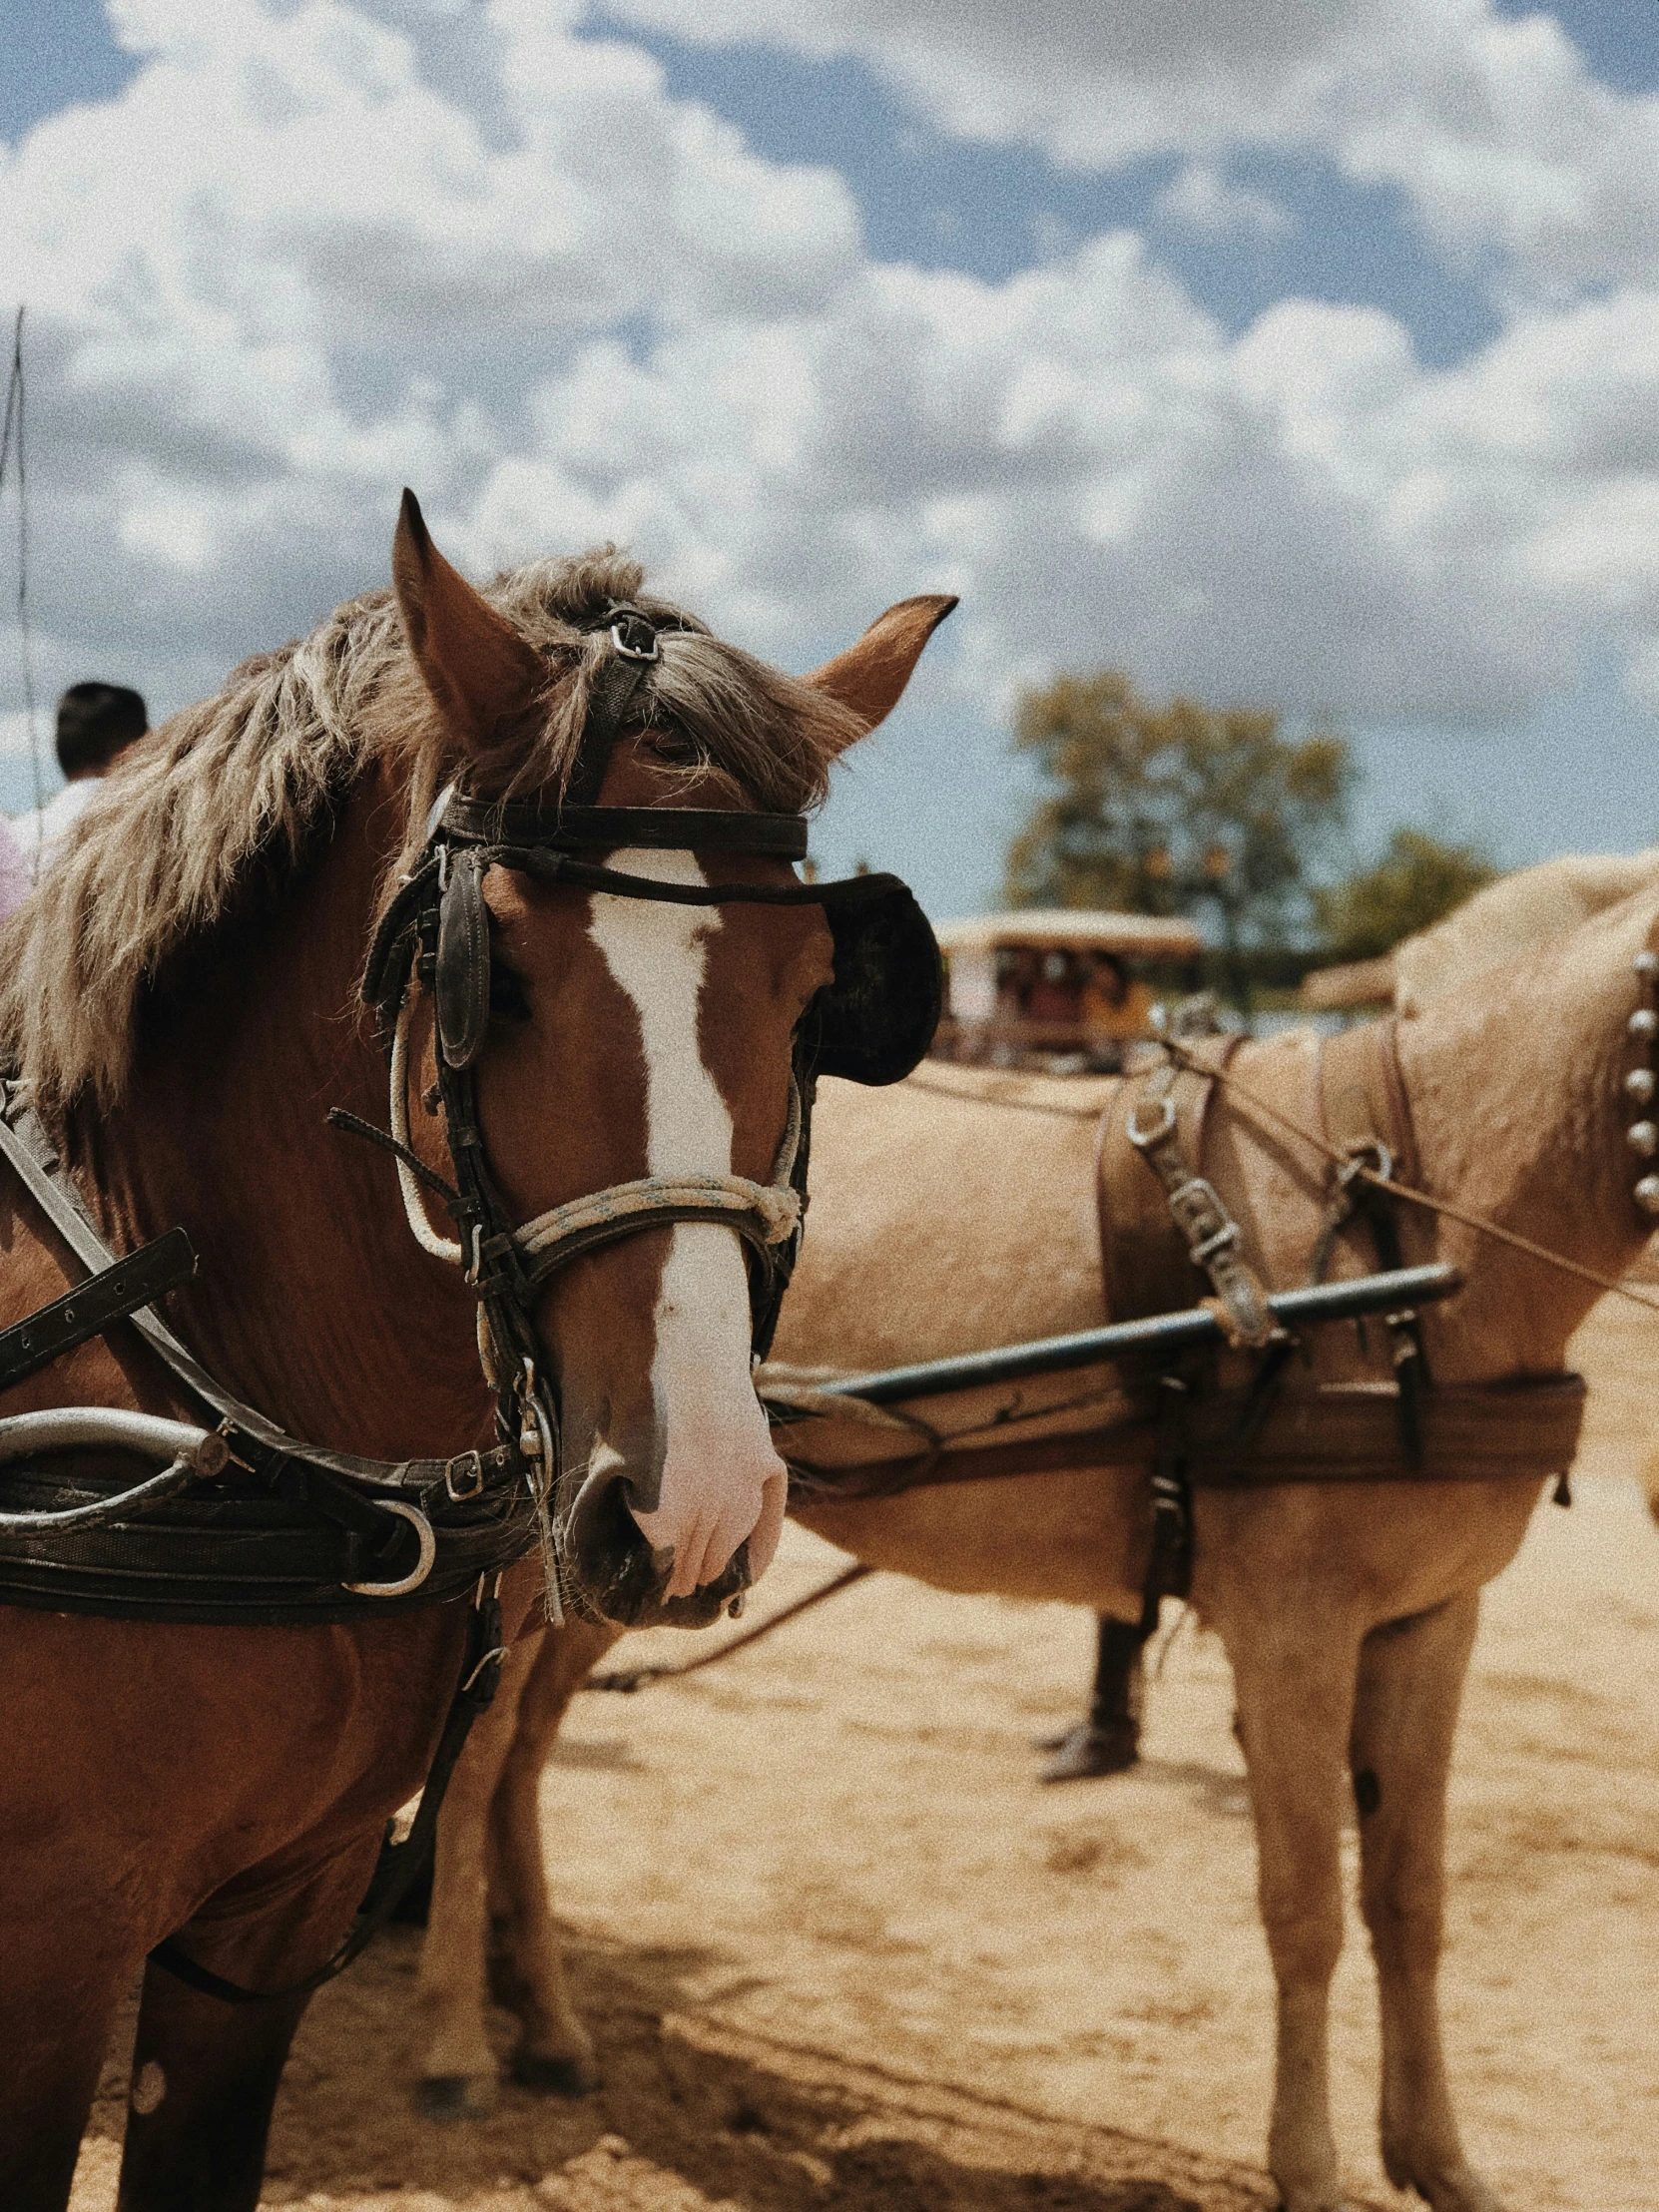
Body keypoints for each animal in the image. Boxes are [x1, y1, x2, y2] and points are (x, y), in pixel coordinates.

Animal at [413, 875, 1659, 2212]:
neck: (1403, 1210)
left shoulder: (1429, 1620)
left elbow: (1410, 1897)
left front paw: (1437, 2157)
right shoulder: (1296, 1630)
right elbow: (1308, 1907)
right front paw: (1310, 2166)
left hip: (641, 1550)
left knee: (524, 1759)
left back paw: (544, 2015)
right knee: (478, 1762)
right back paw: (456, 2037)